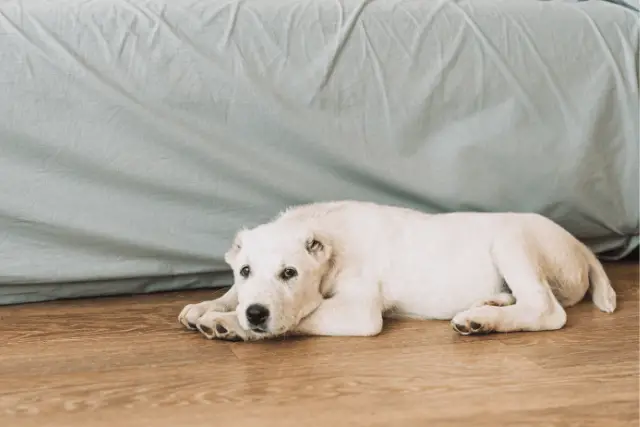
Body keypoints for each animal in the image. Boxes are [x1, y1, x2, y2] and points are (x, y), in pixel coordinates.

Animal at [176, 200, 616, 342]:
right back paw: (489, 305)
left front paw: (230, 323)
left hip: (511, 240)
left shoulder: (357, 312)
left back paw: (483, 320)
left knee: (546, 309)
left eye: (289, 274)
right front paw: (208, 306)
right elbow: (231, 294)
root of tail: (580, 245)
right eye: (245, 270)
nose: (256, 314)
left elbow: (301, 318)